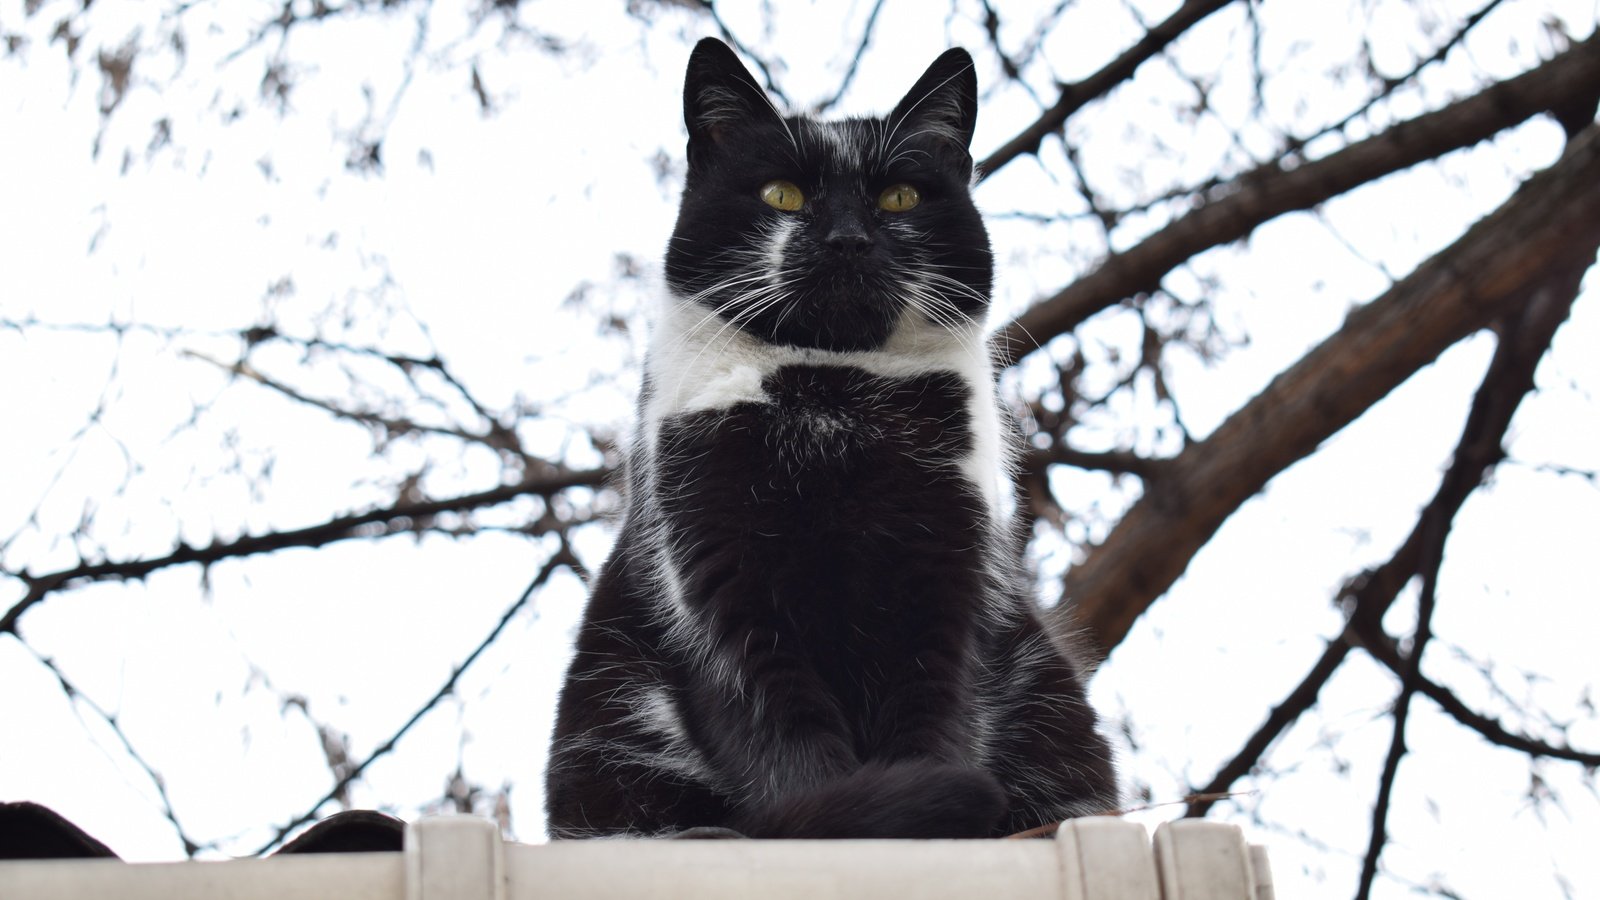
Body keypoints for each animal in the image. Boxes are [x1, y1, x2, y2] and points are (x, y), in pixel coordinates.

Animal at [544, 38, 1120, 839]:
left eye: (900, 198)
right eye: (782, 195)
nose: (848, 237)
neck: (831, 397)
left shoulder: (946, 577)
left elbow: (931, 711)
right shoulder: (719, 583)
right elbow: (783, 739)